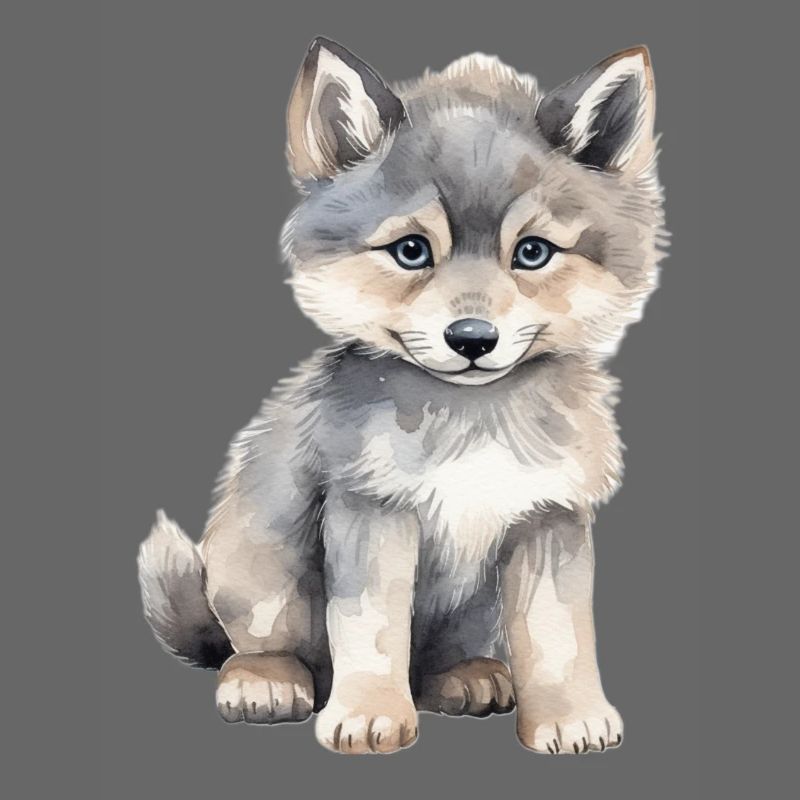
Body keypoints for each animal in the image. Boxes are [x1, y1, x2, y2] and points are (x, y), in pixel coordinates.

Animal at [138, 38, 665, 755]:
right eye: (412, 251)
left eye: (532, 253)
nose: (472, 338)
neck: (473, 420)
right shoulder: (371, 510)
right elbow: (372, 629)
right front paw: (368, 715)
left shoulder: (549, 516)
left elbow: (557, 635)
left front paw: (568, 718)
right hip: (260, 567)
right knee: (254, 645)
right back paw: (265, 682)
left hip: (474, 611)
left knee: (438, 660)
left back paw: (467, 678)